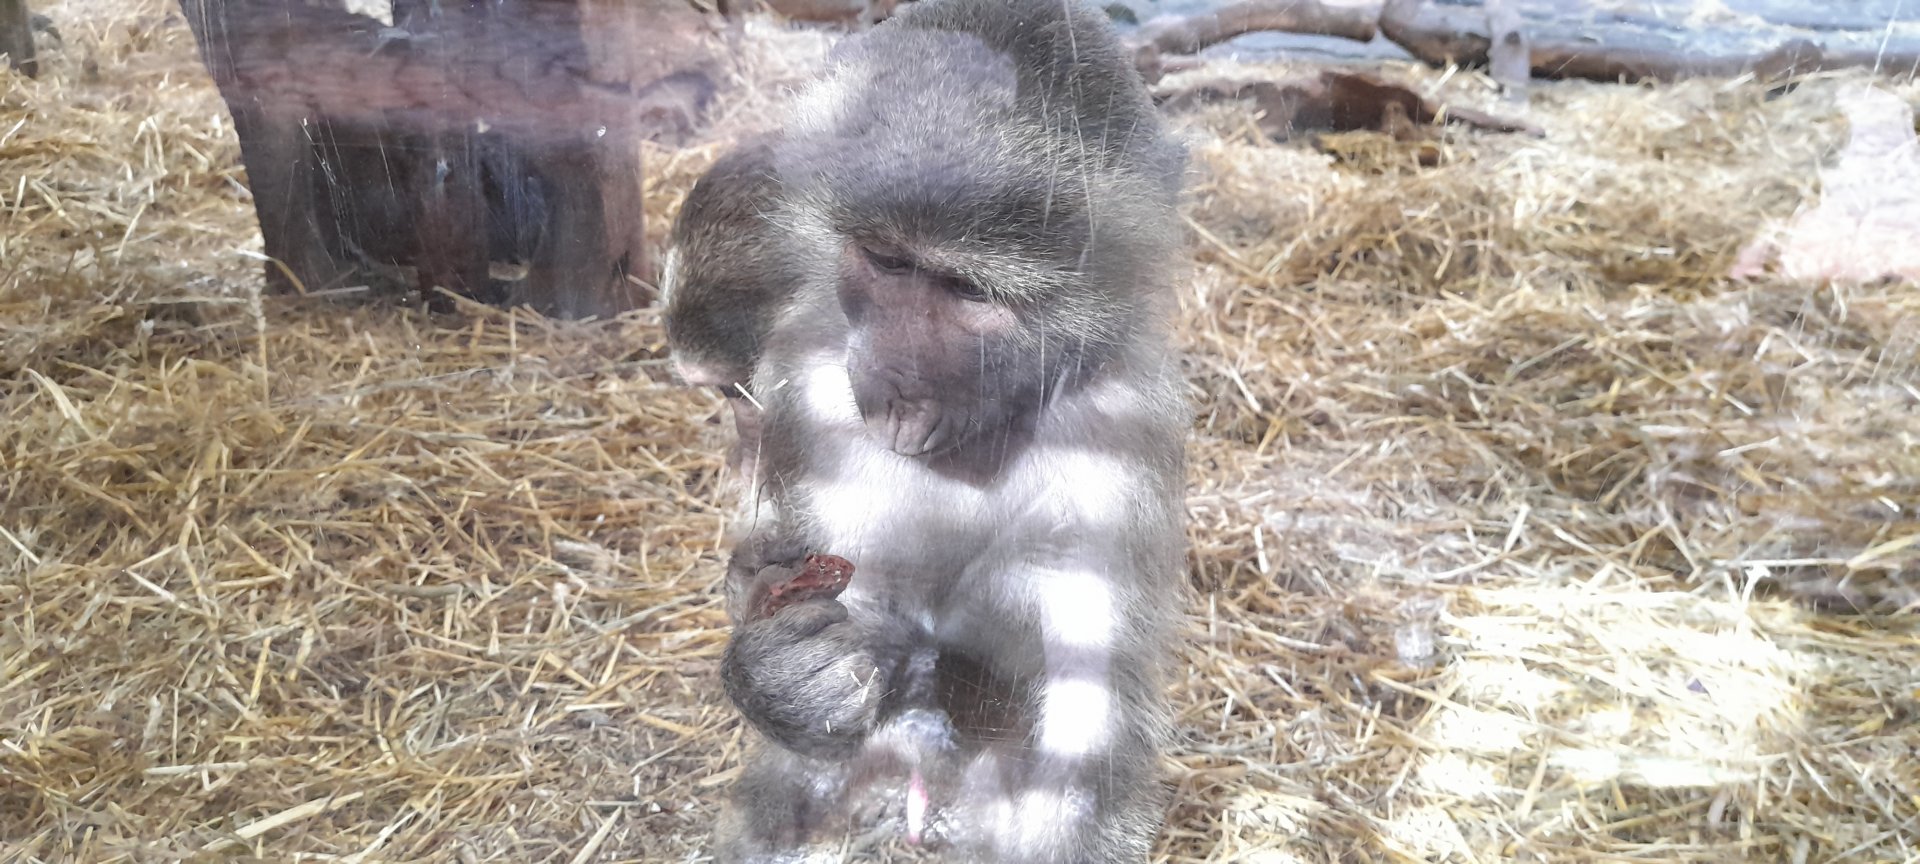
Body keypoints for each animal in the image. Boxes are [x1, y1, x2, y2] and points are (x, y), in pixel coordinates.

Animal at [709, 0, 1190, 860]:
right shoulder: (804, 368)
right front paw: (781, 670)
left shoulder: (1117, 447)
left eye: (969, 291)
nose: (894, 382)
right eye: (887, 261)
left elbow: (1090, 727)